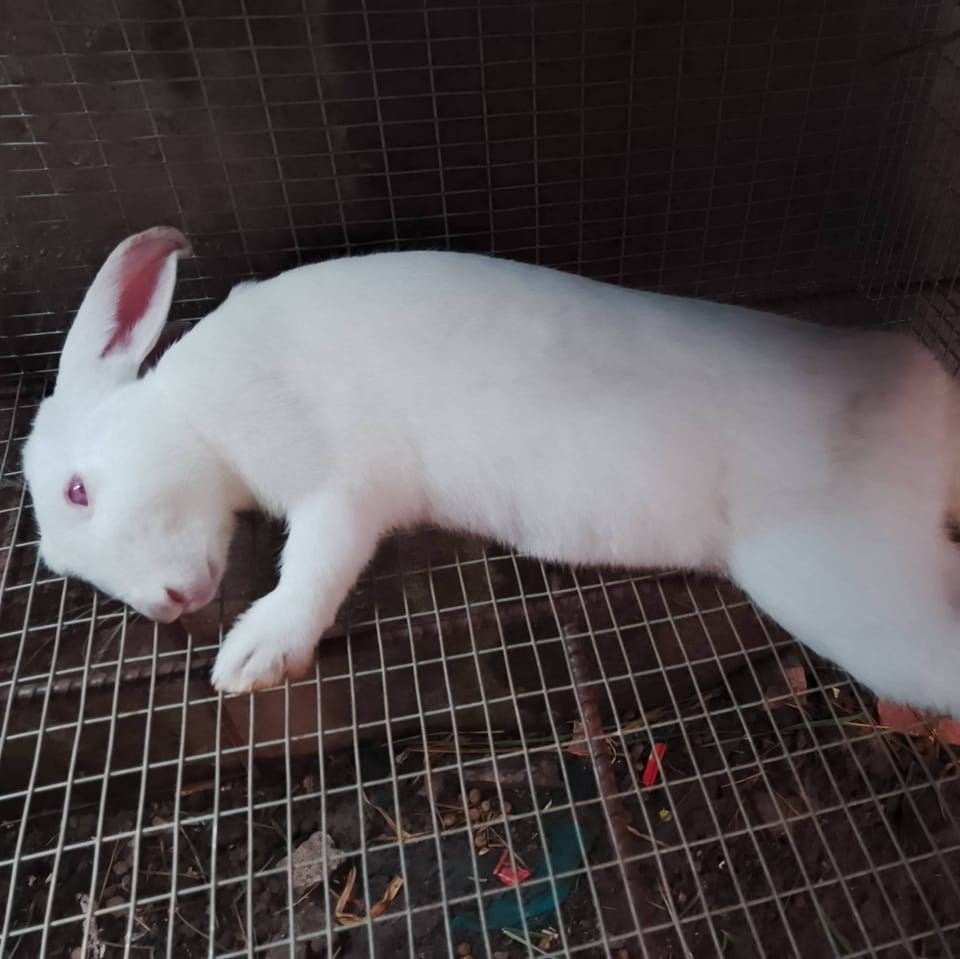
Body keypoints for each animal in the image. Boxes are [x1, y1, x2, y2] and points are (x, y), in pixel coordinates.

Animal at [21, 226, 960, 714]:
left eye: (79, 489)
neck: (195, 412)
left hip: (834, 584)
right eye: (61, 565)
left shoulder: (339, 489)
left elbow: (314, 569)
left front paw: (251, 657)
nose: (170, 604)